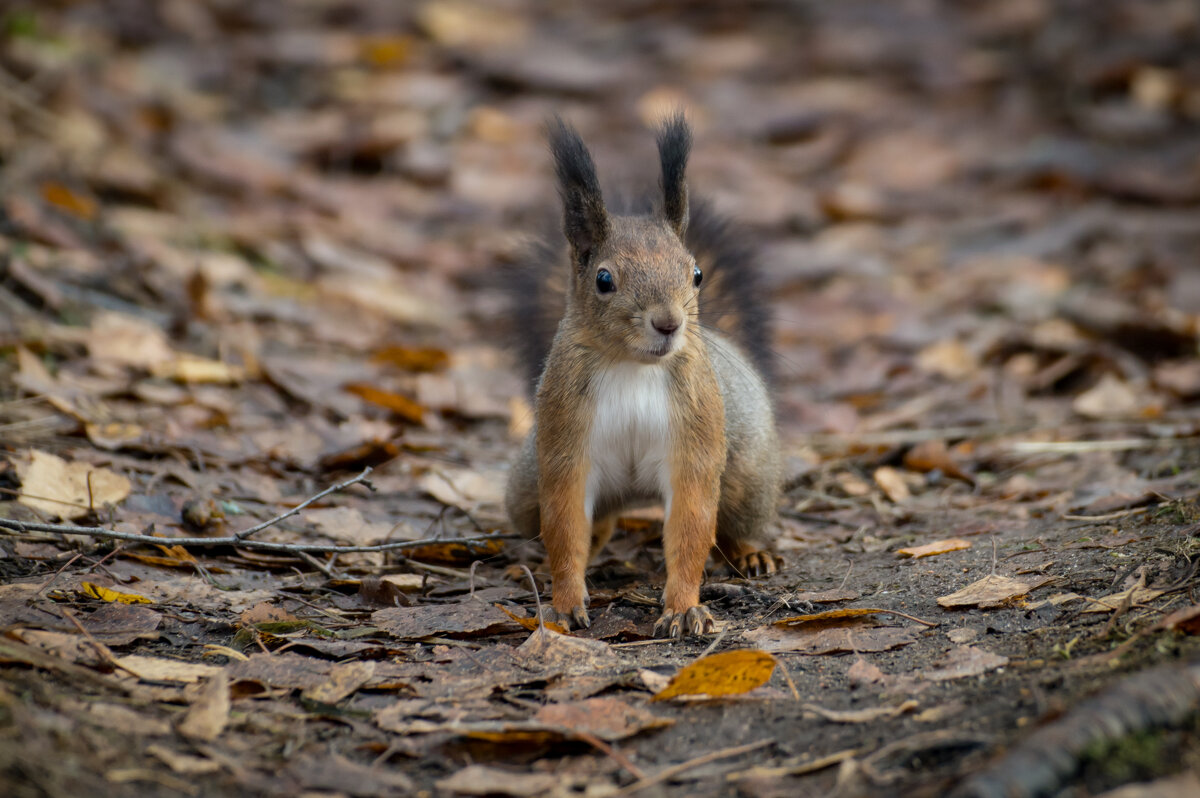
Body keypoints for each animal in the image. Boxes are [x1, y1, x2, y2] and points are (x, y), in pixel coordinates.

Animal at [504, 113, 777, 633]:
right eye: (604, 280)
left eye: (696, 274)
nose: (669, 323)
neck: (633, 366)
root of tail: (632, 495)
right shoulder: (565, 441)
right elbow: (565, 526)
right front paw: (565, 601)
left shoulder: (696, 438)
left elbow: (691, 527)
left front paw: (684, 608)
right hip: (525, 489)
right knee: (584, 526)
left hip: (748, 475)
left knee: (732, 522)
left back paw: (750, 554)